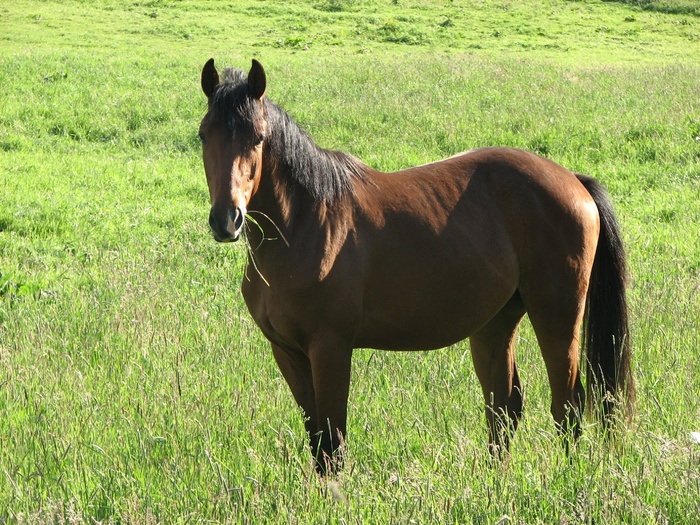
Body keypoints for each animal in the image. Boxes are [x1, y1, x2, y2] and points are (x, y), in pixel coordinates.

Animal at [198, 58, 635, 475]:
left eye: (258, 138)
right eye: (204, 135)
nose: (227, 220)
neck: (306, 224)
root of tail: (573, 181)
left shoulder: (330, 349)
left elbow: (333, 441)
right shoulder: (287, 351)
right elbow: (317, 438)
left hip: (558, 317)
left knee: (568, 403)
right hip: (496, 322)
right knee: (504, 406)